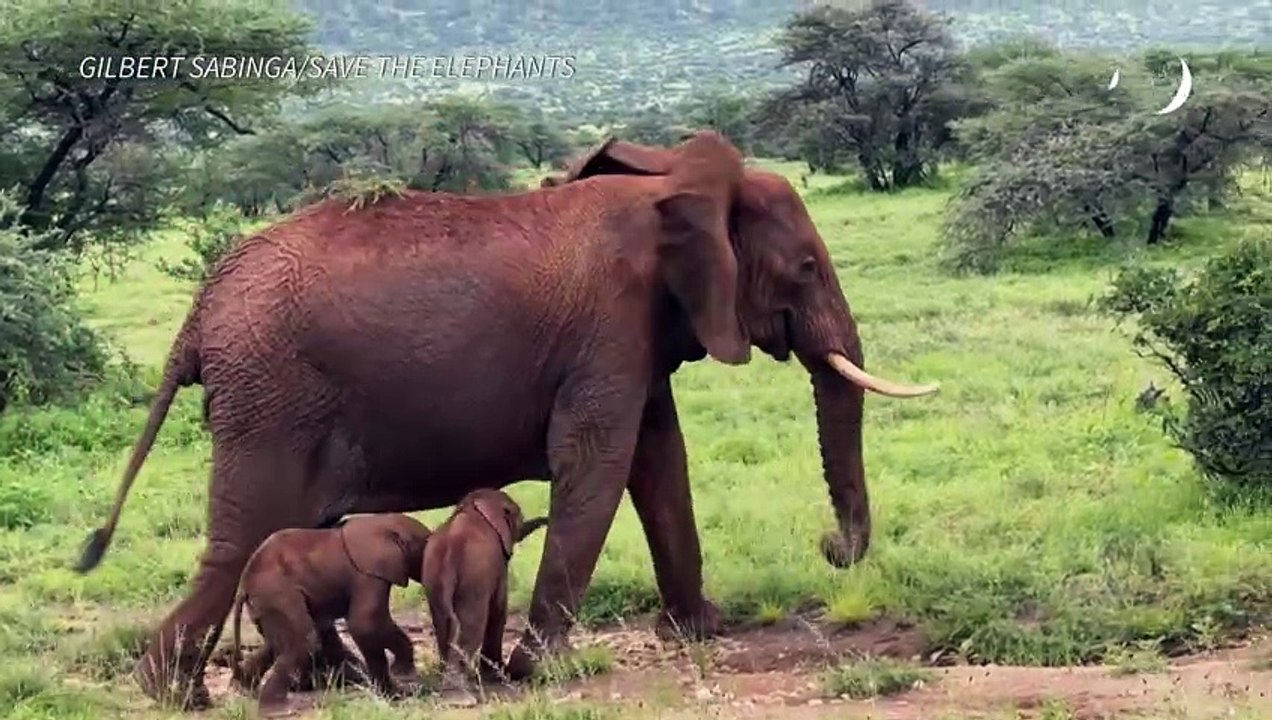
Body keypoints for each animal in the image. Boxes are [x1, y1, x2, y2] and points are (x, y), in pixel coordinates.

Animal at [228, 513, 431, 715]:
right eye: (425, 547)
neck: (383, 522)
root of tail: (243, 586)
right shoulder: (367, 574)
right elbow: (365, 624)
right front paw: (399, 687)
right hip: (277, 593)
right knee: (303, 640)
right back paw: (278, 709)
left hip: (267, 602)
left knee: (276, 644)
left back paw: (244, 689)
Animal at [420, 488, 547, 702]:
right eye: (518, 518)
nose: (546, 520)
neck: (475, 505)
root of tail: (448, 555)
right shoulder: (497, 566)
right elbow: (499, 609)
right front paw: (498, 675)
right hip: (473, 579)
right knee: (471, 626)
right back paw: (460, 699)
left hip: (433, 580)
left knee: (443, 625)